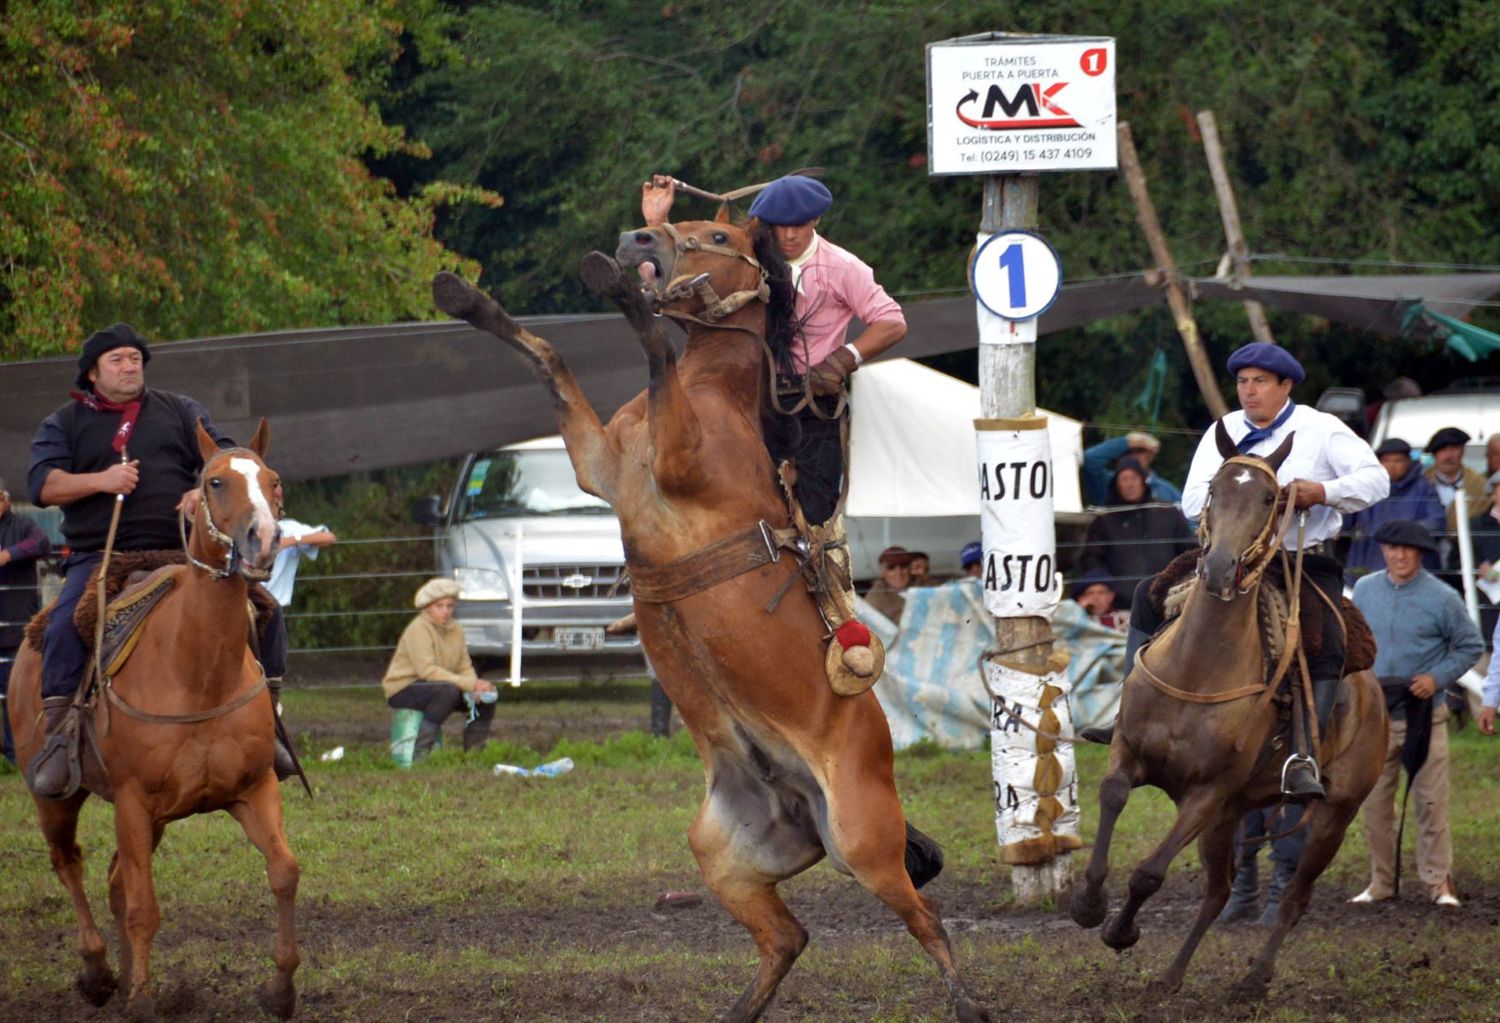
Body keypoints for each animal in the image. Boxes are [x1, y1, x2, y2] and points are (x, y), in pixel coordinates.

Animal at [5, 417, 301, 1014]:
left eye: (273, 480)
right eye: (214, 482)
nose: (263, 540)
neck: (199, 672)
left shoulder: (254, 788)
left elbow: (283, 872)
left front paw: (280, 989)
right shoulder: (134, 801)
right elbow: (145, 906)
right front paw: (140, 999)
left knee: (115, 879)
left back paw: (117, 977)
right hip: (58, 798)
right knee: (69, 862)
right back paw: (98, 973)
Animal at [429, 211, 990, 1014]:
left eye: (720, 237)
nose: (639, 239)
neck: (714, 395)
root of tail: (801, 804)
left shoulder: (678, 456)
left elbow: (652, 348)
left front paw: (616, 284)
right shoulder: (597, 463)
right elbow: (548, 356)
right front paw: (464, 296)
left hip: (864, 841)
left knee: (926, 914)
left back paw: (967, 1001)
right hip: (724, 854)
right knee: (788, 936)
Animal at [1074, 426, 1386, 1002]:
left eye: (1270, 498)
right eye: (1214, 489)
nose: (1219, 568)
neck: (1198, 668)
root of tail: (1374, 693)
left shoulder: (1207, 793)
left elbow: (1149, 873)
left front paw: (1120, 931)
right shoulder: (1132, 754)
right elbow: (1113, 796)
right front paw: (1089, 905)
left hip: (1333, 814)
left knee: (1295, 899)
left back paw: (1253, 980)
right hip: (1232, 815)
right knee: (1218, 892)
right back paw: (1172, 976)